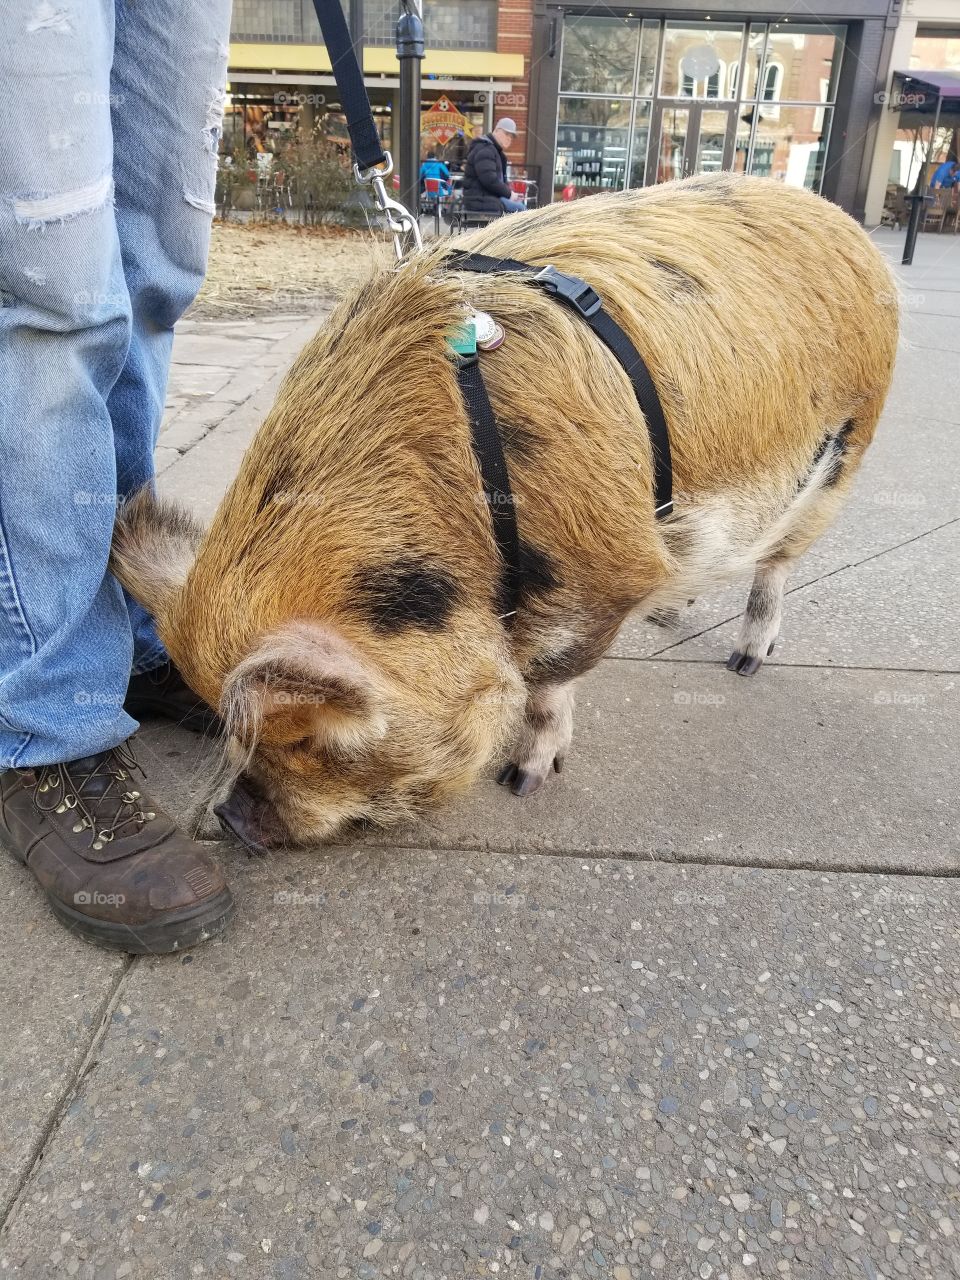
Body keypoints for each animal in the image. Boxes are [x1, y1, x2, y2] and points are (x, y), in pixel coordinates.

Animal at [112, 173, 899, 851]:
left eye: (310, 736)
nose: (232, 823)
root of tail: (844, 223)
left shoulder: (601, 574)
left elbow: (549, 682)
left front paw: (523, 780)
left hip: (843, 452)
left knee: (777, 562)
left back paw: (745, 662)